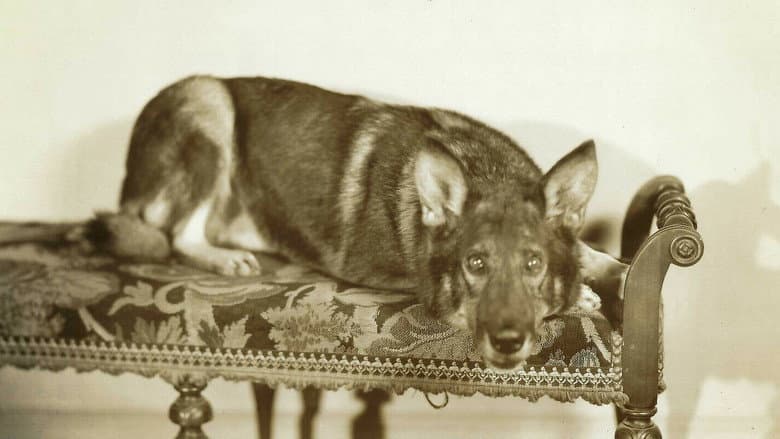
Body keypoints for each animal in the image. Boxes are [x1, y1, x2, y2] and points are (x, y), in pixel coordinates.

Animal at [90, 75, 626, 370]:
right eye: (474, 265)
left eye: (534, 264)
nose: (508, 343)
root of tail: (127, 180)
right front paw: (581, 296)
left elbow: (596, 255)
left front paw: (613, 274)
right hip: (209, 103)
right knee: (176, 234)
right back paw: (224, 259)